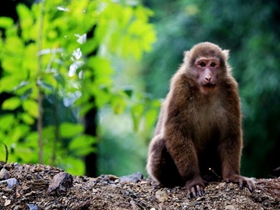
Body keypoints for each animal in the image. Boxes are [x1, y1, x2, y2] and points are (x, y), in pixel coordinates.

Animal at [147, 41, 256, 198]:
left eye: (213, 64)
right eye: (202, 64)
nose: (208, 76)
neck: (205, 93)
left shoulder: (230, 87)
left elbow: (230, 132)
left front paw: (233, 176)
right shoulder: (180, 85)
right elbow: (177, 131)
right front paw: (193, 180)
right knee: (160, 143)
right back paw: (175, 181)